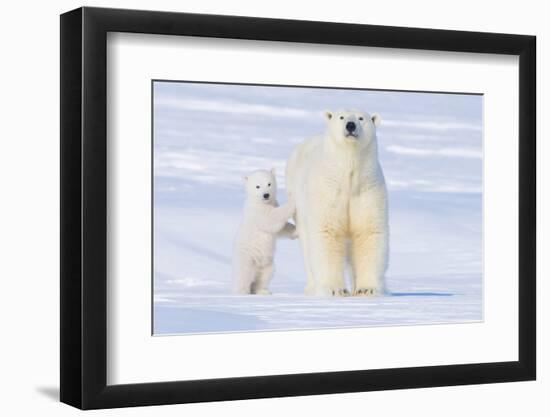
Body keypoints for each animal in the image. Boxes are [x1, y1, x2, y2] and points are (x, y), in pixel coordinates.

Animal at [286, 109, 390, 294]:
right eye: (341, 117)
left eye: (361, 118)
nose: (350, 125)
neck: (348, 177)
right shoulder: (328, 190)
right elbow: (327, 232)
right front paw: (335, 289)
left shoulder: (367, 189)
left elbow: (368, 231)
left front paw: (367, 289)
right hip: (298, 202)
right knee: (306, 245)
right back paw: (312, 287)